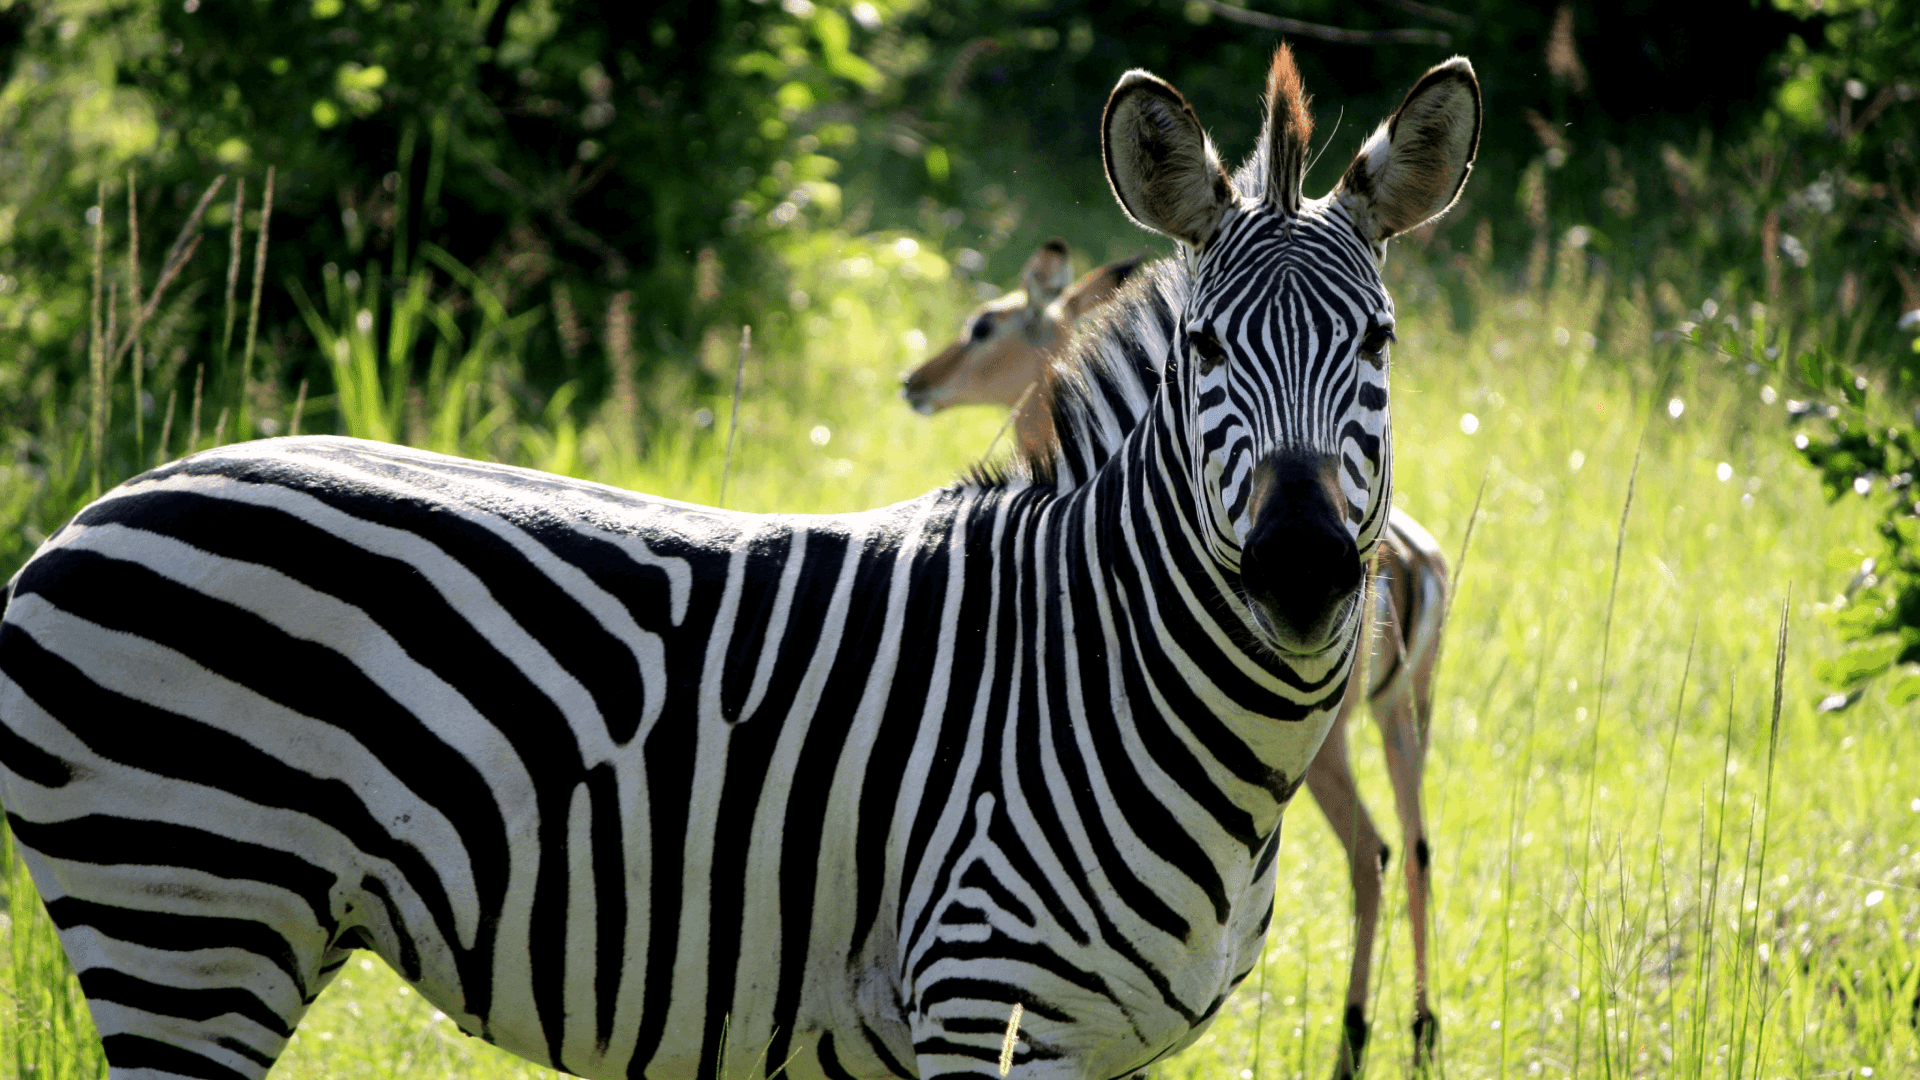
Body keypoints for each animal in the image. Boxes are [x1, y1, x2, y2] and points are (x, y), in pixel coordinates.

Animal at [905, 235, 1454, 1078]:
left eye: (984, 325)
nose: (917, 383)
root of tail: (1413, 561)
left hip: (1329, 747)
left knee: (1374, 851)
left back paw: (1353, 1040)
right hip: (1403, 722)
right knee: (1419, 849)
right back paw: (1422, 1031)